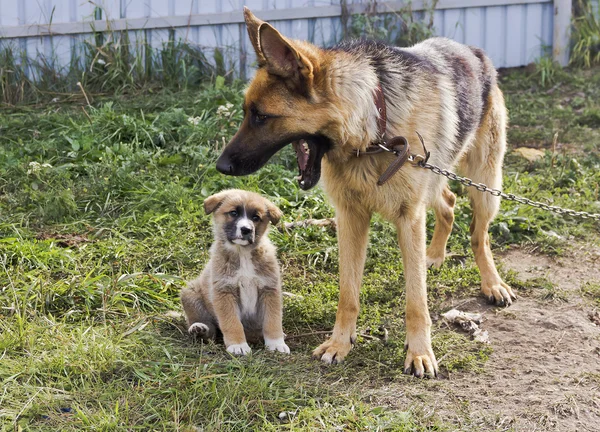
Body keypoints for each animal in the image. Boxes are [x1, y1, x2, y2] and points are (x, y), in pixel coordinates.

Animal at [179, 188, 290, 354]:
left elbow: (273, 320)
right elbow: (232, 323)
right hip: (190, 294)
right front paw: (238, 345)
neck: (242, 253)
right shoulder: (224, 292)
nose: (246, 229)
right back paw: (200, 329)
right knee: (210, 329)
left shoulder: (269, 289)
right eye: (233, 213)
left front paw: (276, 343)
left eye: (256, 217)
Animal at [216, 7, 516, 378]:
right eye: (247, 112)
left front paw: (419, 352)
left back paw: (492, 283)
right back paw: (434, 255)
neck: (374, 126)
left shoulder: (409, 218)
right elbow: (348, 293)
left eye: (260, 116)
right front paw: (340, 343)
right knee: (448, 203)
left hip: (486, 186)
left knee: (479, 235)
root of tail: (474, 51)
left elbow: (416, 300)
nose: (221, 167)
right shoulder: (351, 219)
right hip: (437, 179)